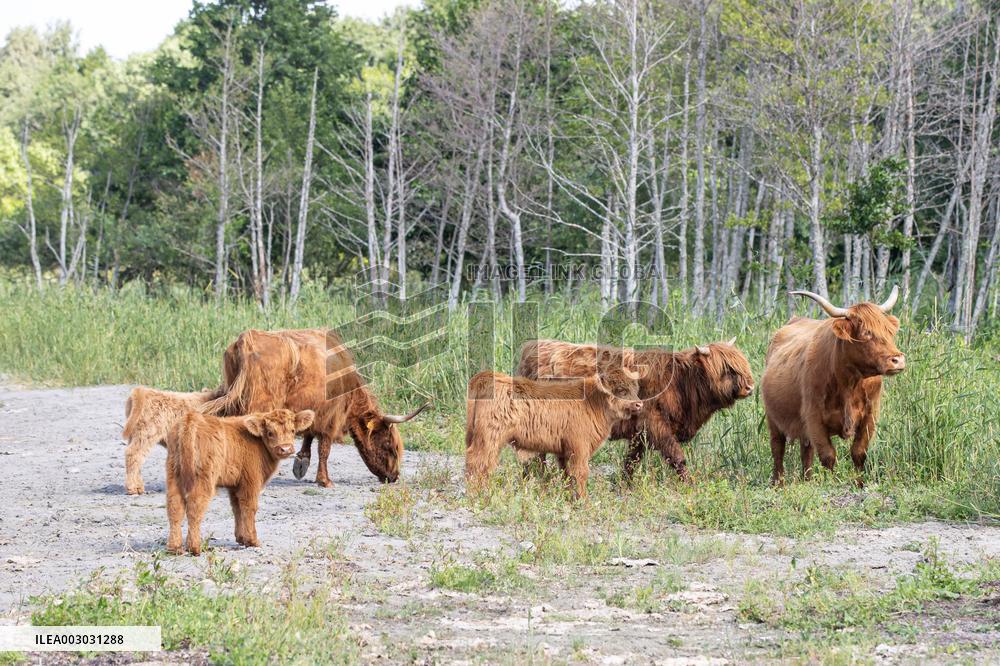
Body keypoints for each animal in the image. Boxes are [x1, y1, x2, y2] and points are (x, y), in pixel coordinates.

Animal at [165, 408, 314, 555]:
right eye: (270, 433)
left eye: (293, 430)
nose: (285, 448)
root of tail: (191, 418)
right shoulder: (251, 481)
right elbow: (250, 507)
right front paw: (252, 541)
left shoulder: (235, 484)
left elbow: (237, 508)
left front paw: (241, 538)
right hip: (204, 478)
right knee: (195, 506)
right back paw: (195, 547)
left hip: (174, 474)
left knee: (175, 506)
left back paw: (175, 547)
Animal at [201, 328, 428, 487]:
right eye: (389, 445)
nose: (394, 476)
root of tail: (246, 340)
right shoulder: (331, 416)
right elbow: (324, 448)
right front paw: (324, 480)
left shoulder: (313, 409)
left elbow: (309, 435)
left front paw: (301, 462)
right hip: (256, 405)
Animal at [464, 365, 643, 498]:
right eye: (621, 390)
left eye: (635, 389)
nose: (639, 404)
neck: (593, 402)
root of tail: (488, 377)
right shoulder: (579, 448)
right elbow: (580, 473)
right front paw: (584, 501)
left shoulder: (564, 451)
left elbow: (567, 475)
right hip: (489, 438)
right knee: (479, 461)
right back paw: (477, 494)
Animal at [517, 338, 755, 481]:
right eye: (728, 369)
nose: (750, 387)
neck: (680, 383)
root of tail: (533, 347)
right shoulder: (656, 425)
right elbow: (677, 457)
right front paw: (691, 485)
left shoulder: (640, 433)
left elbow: (632, 461)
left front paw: (625, 485)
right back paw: (538, 477)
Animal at [761, 286, 905, 486]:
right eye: (866, 333)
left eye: (889, 331)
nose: (897, 360)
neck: (849, 383)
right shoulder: (814, 417)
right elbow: (828, 456)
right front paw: (831, 483)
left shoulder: (870, 415)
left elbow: (859, 452)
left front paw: (859, 484)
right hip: (773, 418)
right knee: (777, 448)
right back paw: (778, 484)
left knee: (806, 451)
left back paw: (807, 481)